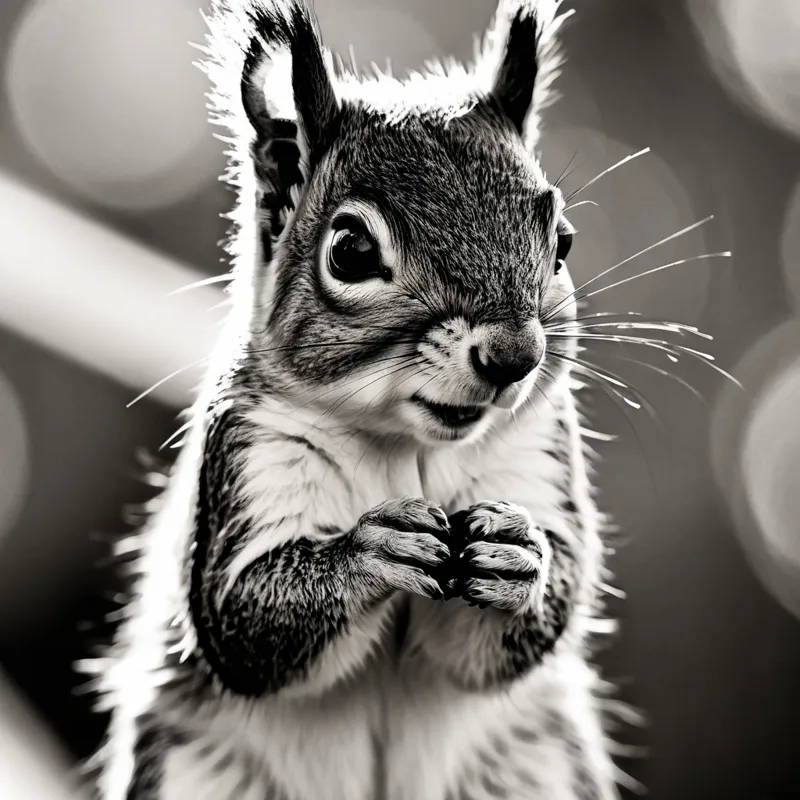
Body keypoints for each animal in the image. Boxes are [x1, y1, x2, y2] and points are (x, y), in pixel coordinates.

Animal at [83, 1, 640, 798]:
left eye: (562, 241)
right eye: (349, 251)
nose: (514, 357)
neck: (411, 446)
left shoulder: (536, 452)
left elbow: (512, 634)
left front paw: (518, 558)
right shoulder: (245, 455)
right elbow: (243, 619)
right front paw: (368, 552)